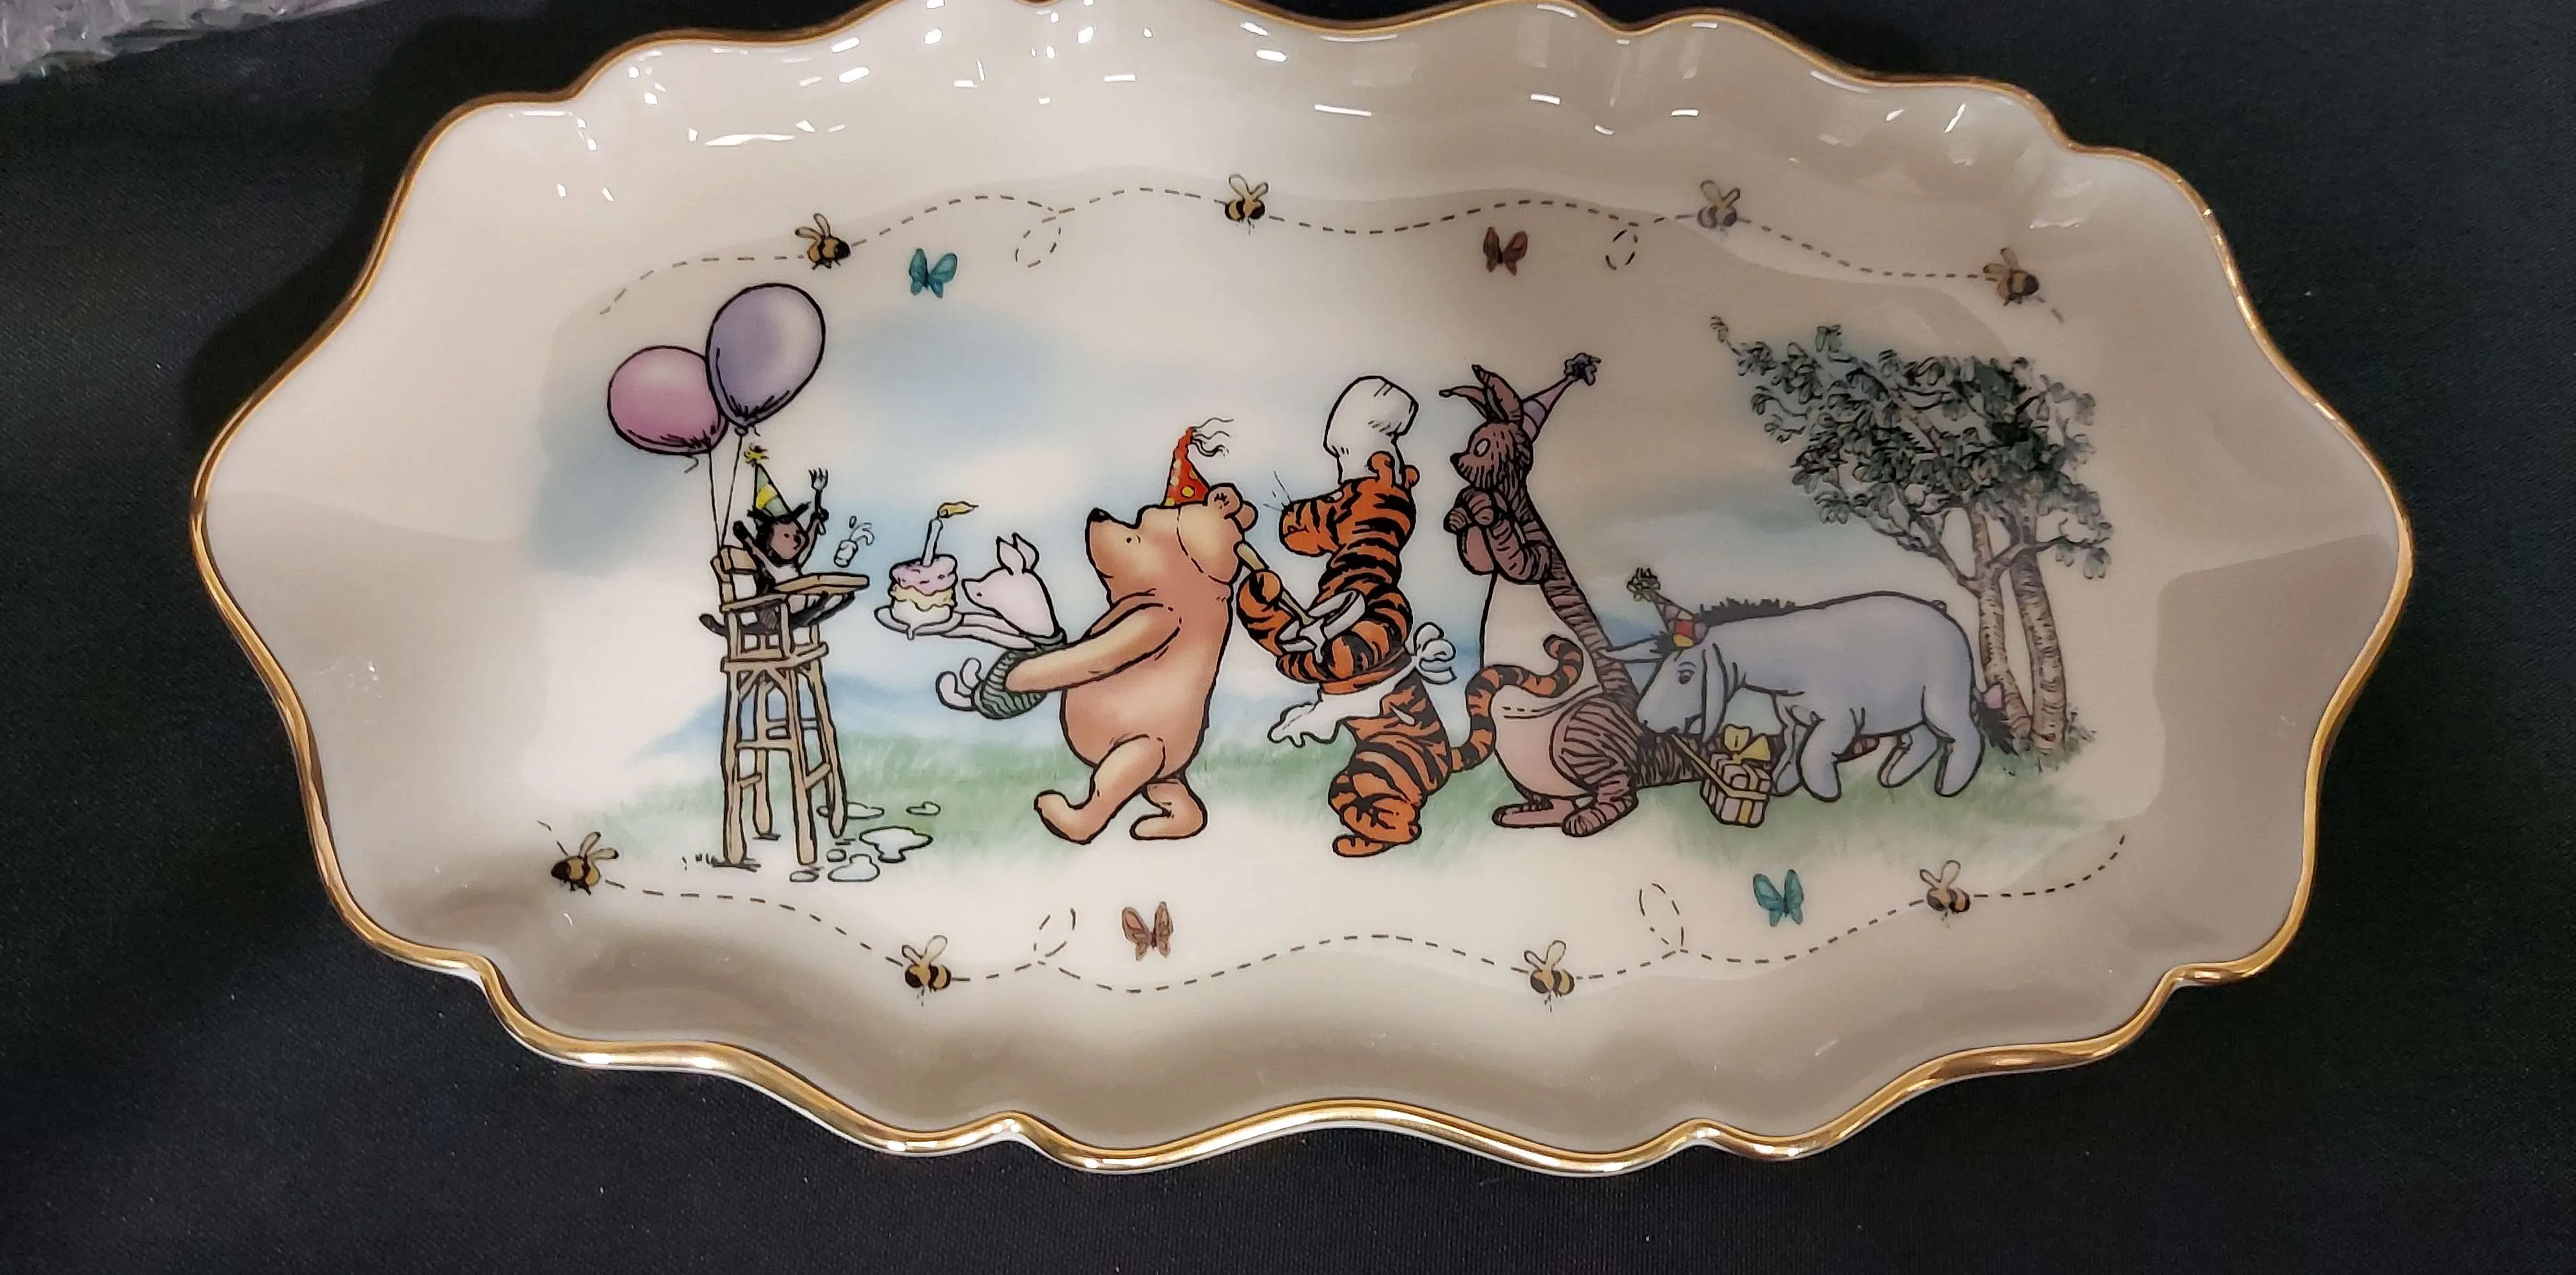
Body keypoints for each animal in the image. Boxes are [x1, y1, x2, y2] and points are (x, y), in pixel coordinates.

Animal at [999, 485, 1257, 843]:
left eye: (1132, 537)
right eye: (1141, 516)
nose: (1097, 513)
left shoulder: (1157, 619)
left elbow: (1093, 653)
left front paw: (1017, 675)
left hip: (1139, 750)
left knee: (1105, 789)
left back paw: (1059, 814)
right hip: (1164, 778)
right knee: (1179, 802)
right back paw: (1156, 826)